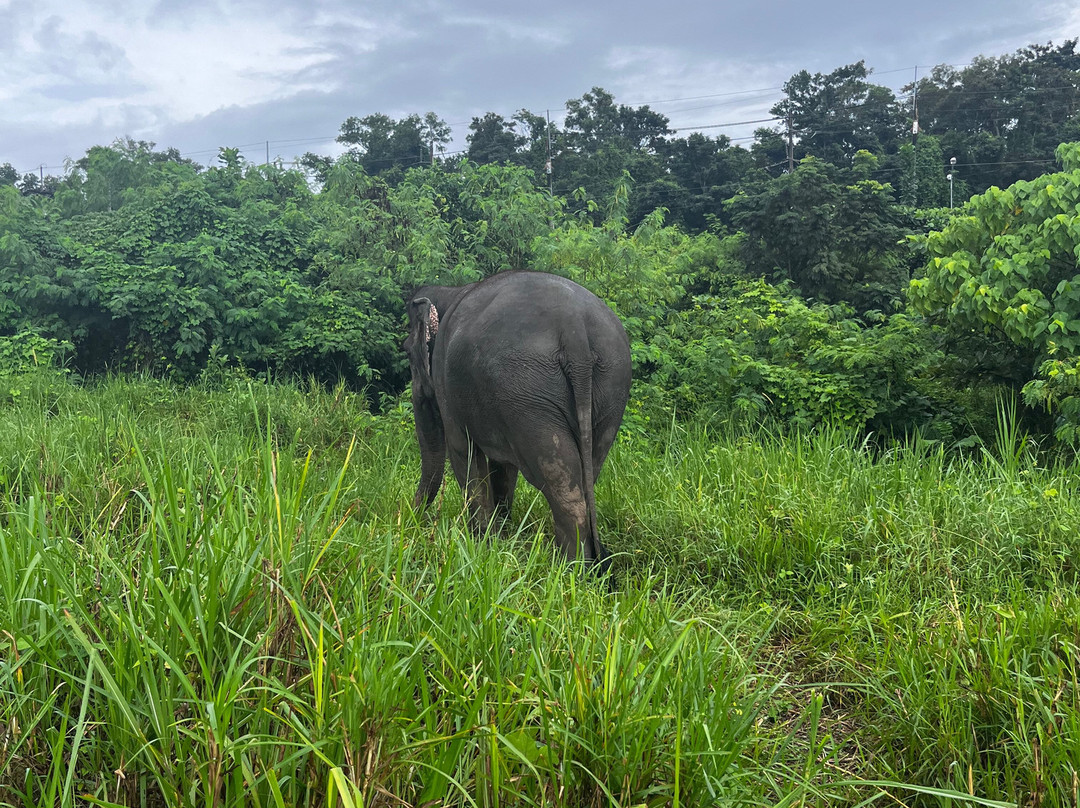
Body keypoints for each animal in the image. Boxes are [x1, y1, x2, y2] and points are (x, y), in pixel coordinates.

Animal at [403, 270, 631, 570]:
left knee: (560, 487)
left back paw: (567, 573)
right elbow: (502, 467)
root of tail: (575, 330)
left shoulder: (447, 388)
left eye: (407, 352)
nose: (411, 520)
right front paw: (500, 536)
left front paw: (480, 544)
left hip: (527, 394)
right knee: (586, 474)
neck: (449, 291)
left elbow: (464, 454)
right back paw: (585, 566)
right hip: (608, 386)